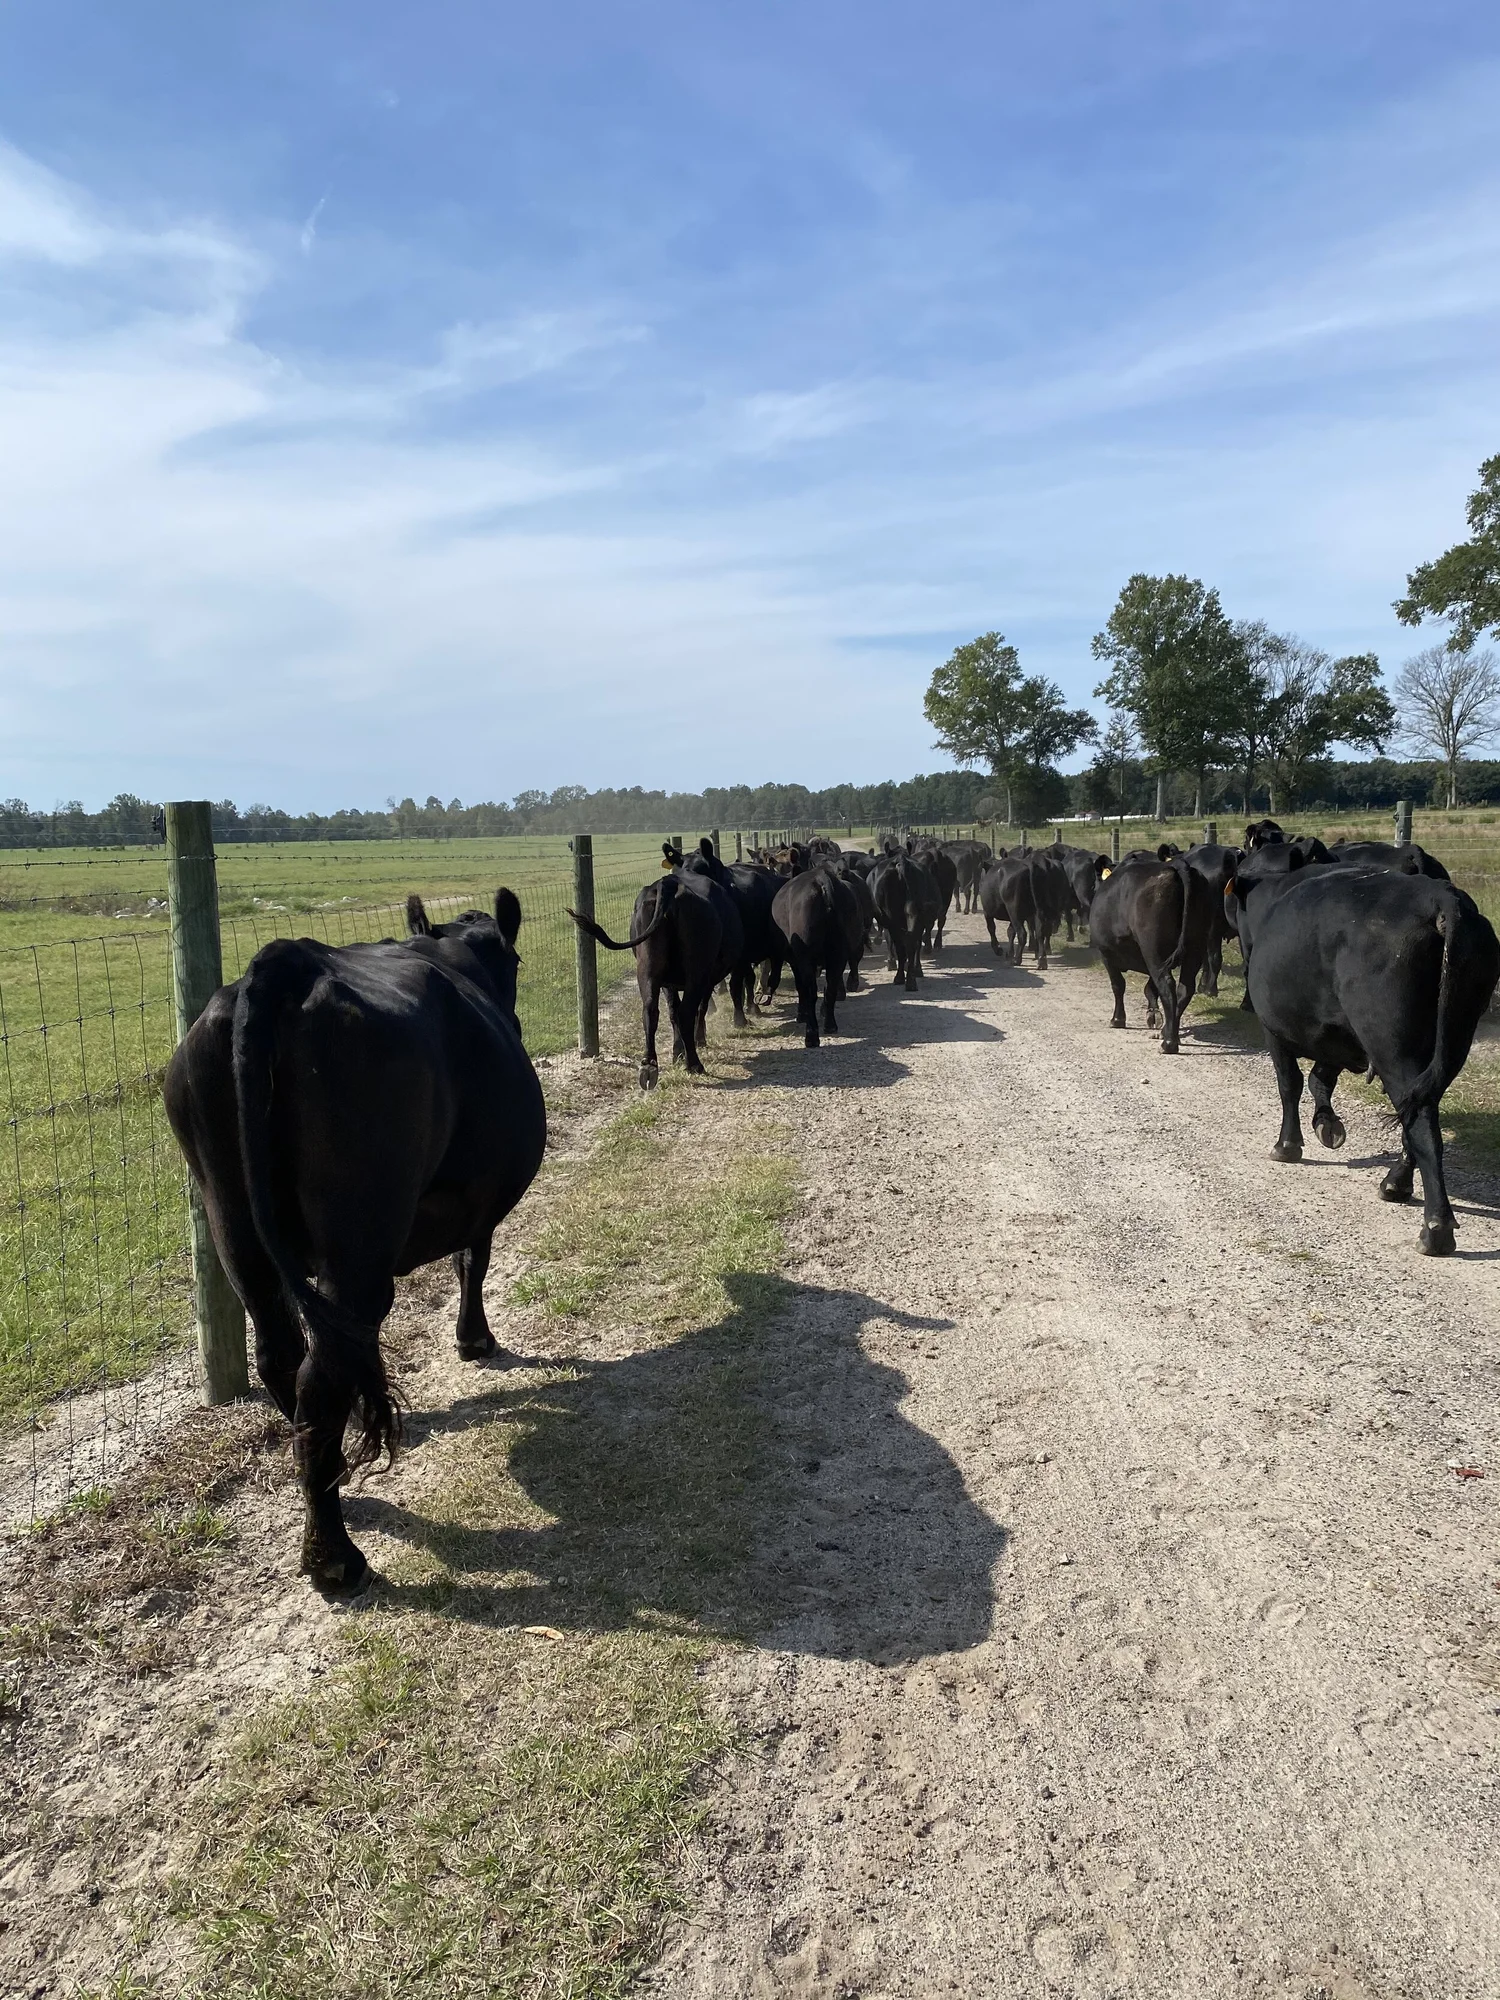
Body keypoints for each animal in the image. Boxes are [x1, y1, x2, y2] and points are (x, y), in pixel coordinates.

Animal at [162, 889, 546, 1595]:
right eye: (516, 962)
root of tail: (288, 966)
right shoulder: (476, 1200)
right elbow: (472, 1262)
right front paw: (474, 1340)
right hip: (360, 1227)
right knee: (322, 1371)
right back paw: (334, 1556)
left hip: (232, 1218)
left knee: (285, 1355)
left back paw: (330, 1480)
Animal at [570, 871, 742, 1087]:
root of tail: (668, 883)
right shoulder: (706, 978)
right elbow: (699, 1009)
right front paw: (697, 1041)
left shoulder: (669, 983)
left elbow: (673, 1011)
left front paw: (678, 1052)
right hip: (697, 971)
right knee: (686, 1012)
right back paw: (694, 1064)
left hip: (648, 966)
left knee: (651, 1010)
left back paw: (649, 1064)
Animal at [1089, 855, 1216, 1052]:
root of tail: (1176, 865)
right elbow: (1150, 988)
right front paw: (1153, 1015)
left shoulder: (1106, 953)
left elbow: (1118, 985)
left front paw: (1118, 1019)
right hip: (1195, 946)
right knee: (1184, 989)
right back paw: (1168, 1032)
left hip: (1153, 948)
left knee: (1167, 985)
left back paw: (1169, 1043)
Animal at [1227, 848, 1500, 1254]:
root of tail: (1438, 896)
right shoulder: (1338, 1033)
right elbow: (1319, 1078)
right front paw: (1327, 1125)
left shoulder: (1273, 1027)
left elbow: (1290, 1083)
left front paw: (1288, 1144)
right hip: (1449, 1039)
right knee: (1417, 1106)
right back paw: (1396, 1182)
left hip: (1390, 1042)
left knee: (1420, 1122)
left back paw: (1435, 1227)